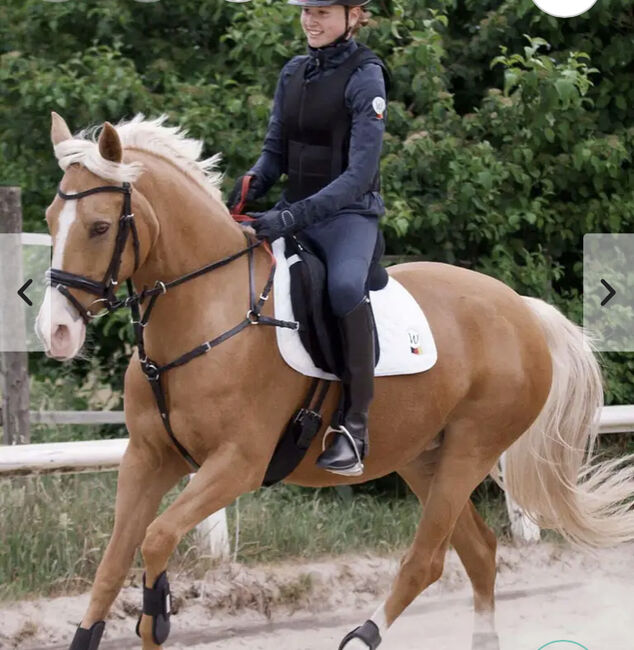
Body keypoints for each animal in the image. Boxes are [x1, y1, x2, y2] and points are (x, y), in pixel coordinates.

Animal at [37, 111, 632, 648]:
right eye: (49, 219)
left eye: (100, 226)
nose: (56, 331)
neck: (205, 315)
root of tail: (522, 309)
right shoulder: (147, 458)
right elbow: (114, 561)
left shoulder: (236, 465)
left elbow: (157, 539)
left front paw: (157, 613)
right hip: (423, 457)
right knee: (478, 553)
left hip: (471, 449)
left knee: (426, 561)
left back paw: (363, 635)